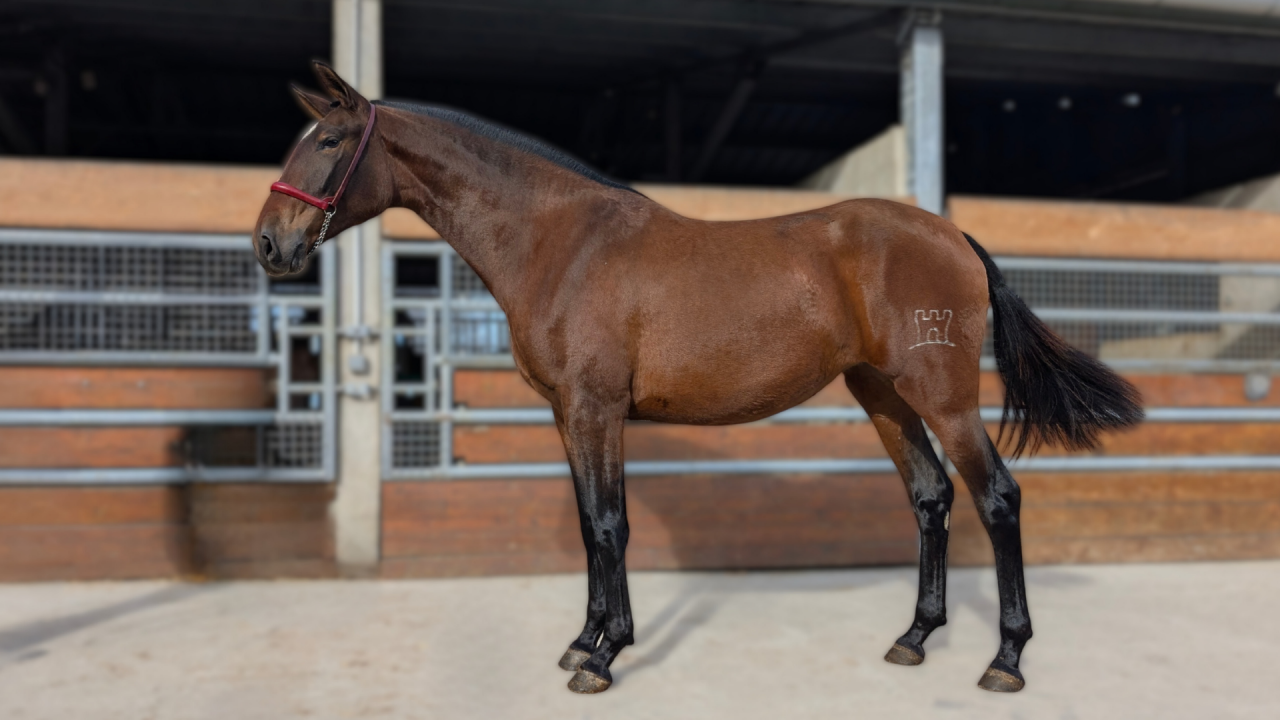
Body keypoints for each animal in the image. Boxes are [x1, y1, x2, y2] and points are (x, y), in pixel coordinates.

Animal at [253, 62, 1143, 695]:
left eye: (327, 143)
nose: (269, 244)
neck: (560, 240)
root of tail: (951, 234)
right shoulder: (568, 416)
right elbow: (589, 525)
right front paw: (583, 640)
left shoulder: (597, 410)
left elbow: (609, 525)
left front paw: (604, 658)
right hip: (883, 395)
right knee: (930, 497)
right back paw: (914, 638)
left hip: (944, 398)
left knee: (997, 498)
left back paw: (1006, 660)